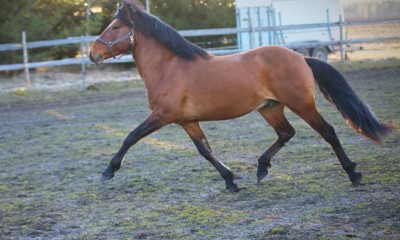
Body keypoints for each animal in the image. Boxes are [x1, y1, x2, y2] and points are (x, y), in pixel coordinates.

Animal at [89, 0, 392, 192]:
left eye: (115, 27)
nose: (92, 54)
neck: (169, 67)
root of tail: (301, 57)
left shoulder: (163, 115)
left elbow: (131, 137)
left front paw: (108, 171)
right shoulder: (187, 121)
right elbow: (205, 150)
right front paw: (230, 181)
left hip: (301, 104)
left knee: (327, 131)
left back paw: (353, 173)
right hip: (270, 107)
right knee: (286, 133)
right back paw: (261, 168)